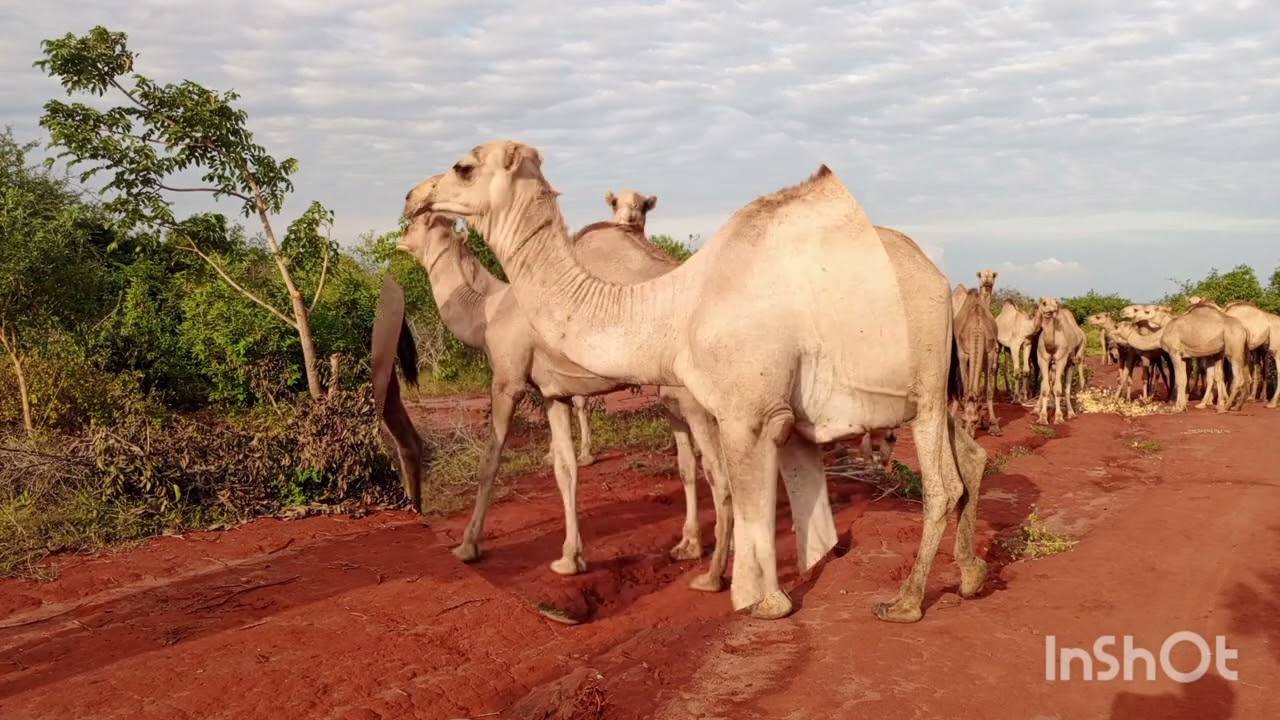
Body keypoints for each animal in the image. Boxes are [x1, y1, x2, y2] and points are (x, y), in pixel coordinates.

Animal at [394, 206, 733, 588]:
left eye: (420, 222)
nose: (399, 238)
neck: (486, 311)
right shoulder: (553, 394)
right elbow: (565, 468)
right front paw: (571, 558)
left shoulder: (508, 381)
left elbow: (489, 462)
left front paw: (468, 546)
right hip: (677, 393)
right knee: (698, 463)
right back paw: (691, 547)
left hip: (697, 397)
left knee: (721, 472)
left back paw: (715, 575)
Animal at [954, 288, 1002, 436]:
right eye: (964, 420)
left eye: (973, 421)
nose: (969, 434)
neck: (976, 329)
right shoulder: (963, 353)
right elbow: (964, 387)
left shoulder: (989, 353)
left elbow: (988, 390)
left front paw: (993, 425)